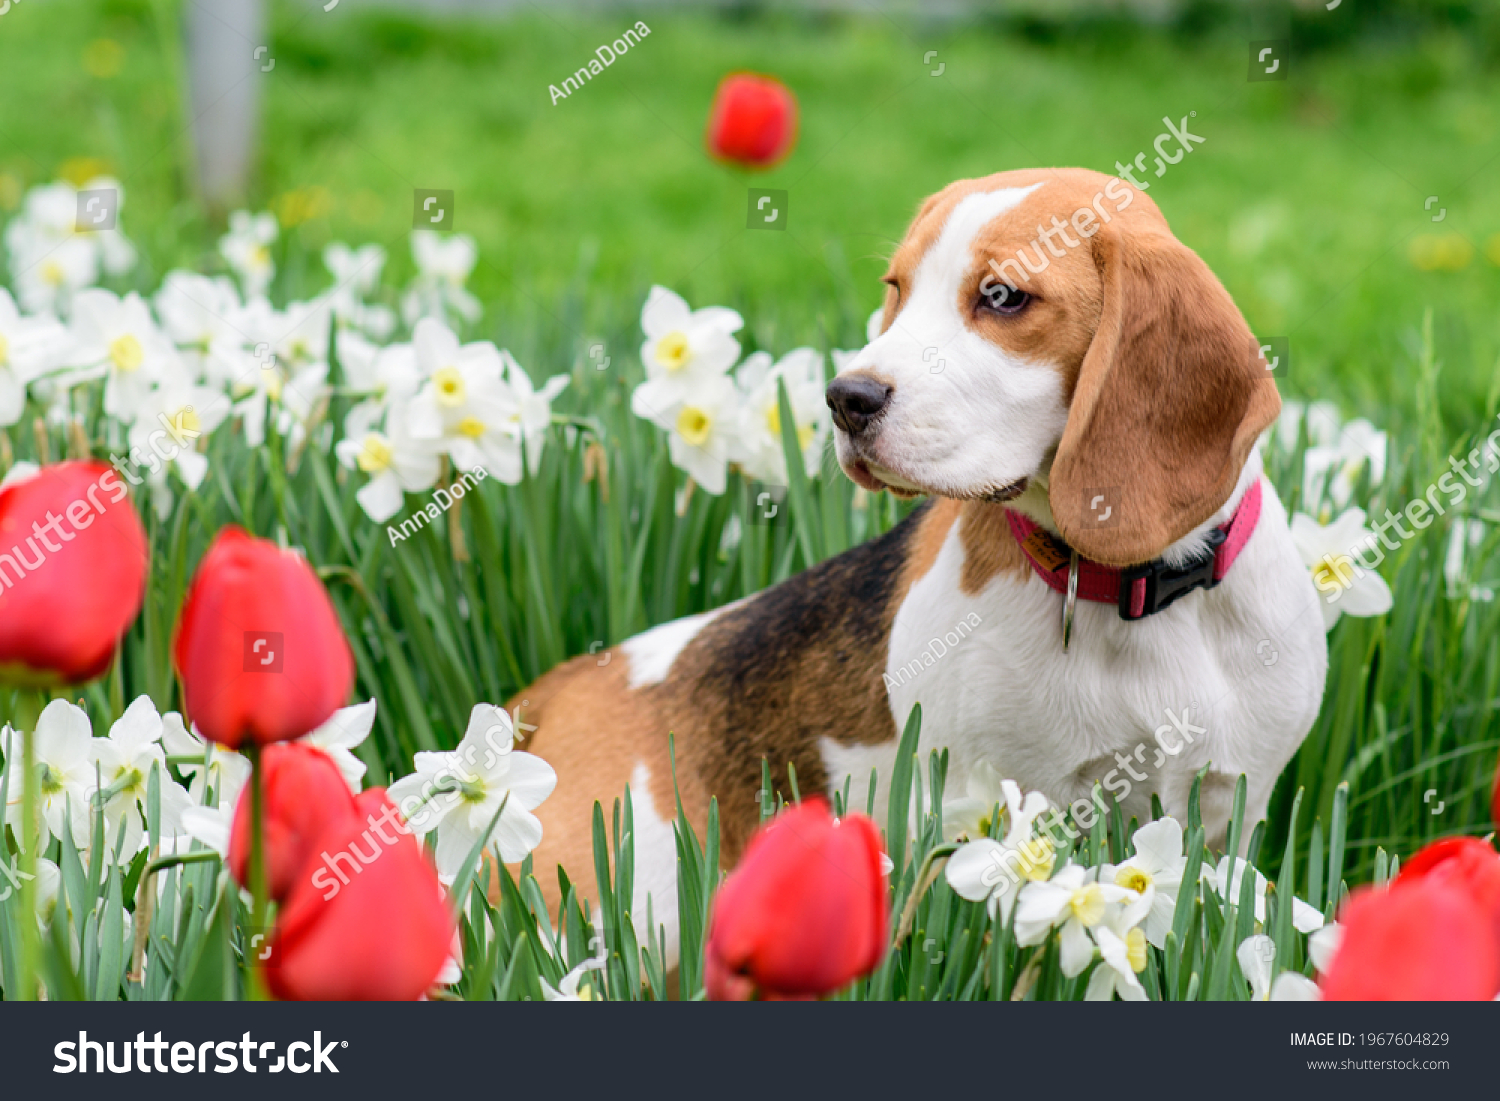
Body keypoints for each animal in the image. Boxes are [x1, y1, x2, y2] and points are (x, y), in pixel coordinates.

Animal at [513, 165, 1326, 966]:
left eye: (1001, 296)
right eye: (897, 287)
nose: (845, 398)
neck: (1139, 590)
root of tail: (560, 686)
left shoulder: (1230, 813)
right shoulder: (987, 798)